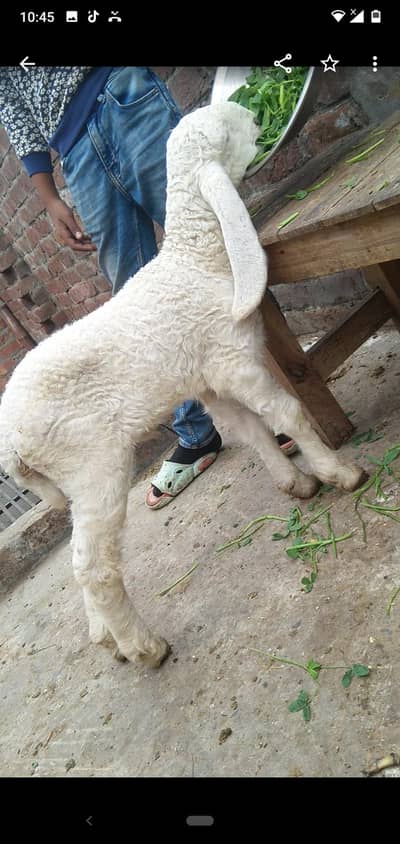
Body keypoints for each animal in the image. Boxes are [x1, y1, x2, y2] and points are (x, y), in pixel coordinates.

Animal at [0, 101, 366, 668]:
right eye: (230, 132)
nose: (257, 116)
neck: (195, 259)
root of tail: (11, 445)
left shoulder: (211, 378)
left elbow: (252, 431)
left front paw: (297, 484)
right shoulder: (233, 358)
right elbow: (287, 412)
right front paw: (338, 472)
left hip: (70, 481)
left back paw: (106, 637)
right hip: (92, 464)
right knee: (92, 566)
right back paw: (144, 646)